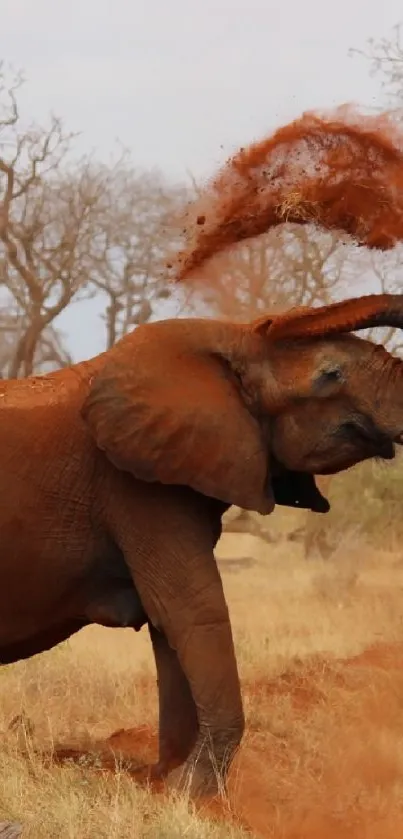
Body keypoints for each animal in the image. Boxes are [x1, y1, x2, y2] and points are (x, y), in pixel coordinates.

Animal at [0, 296, 403, 800]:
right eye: (330, 374)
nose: (269, 320)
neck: (230, 337)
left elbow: (169, 621)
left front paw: (164, 781)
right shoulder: (136, 485)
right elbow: (193, 608)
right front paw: (193, 793)